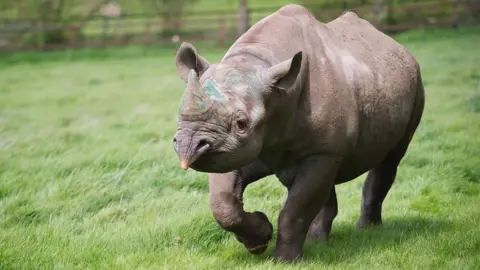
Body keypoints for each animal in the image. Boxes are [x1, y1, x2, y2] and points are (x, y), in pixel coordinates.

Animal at [172, 4, 424, 262]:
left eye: (241, 124)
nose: (188, 146)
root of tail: (399, 47)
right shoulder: (230, 148)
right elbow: (222, 201)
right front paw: (259, 239)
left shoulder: (322, 151)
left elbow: (296, 210)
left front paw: (284, 260)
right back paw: (317, 241)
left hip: (415, 82)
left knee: (390, 159)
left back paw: (366, 231)